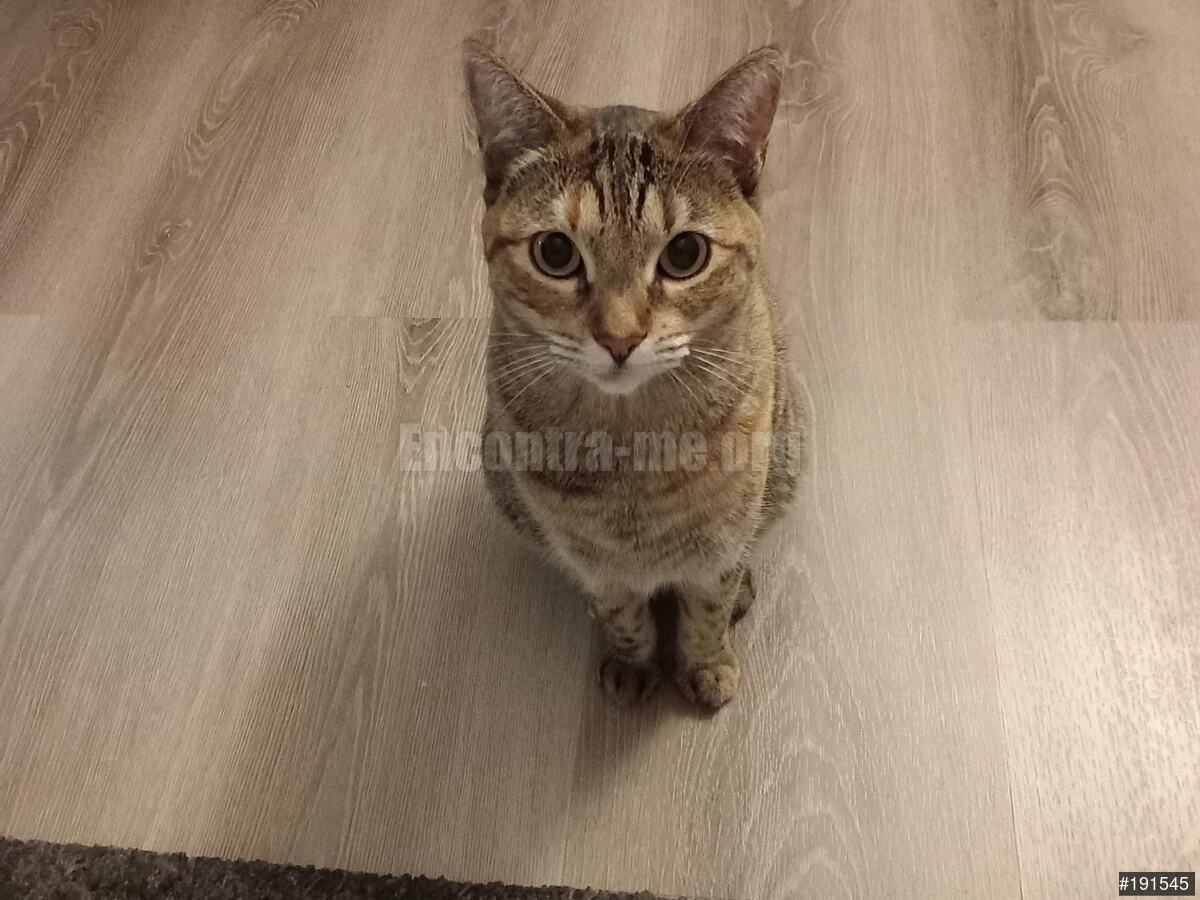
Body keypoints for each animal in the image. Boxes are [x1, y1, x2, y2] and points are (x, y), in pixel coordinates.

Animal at [463, 41, 806, 709]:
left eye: (685, 254)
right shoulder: (593, 556)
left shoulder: (722, 539)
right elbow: (622, 611)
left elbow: (708, 605)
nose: (619, 338)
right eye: (555, 252)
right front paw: (632, 659)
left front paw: (707, 662)